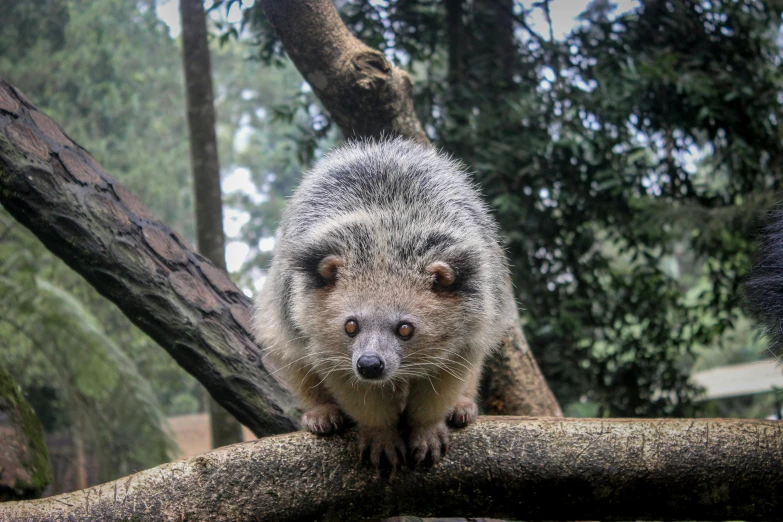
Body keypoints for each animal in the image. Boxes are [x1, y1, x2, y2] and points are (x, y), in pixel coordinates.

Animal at [254, 136, 516, 466]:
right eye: (350, 325)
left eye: (405, 328)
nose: (369, 365)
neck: (387, 238)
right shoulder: (324, 342)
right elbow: (356, 391)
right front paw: (382, 436)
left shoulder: (470, 328)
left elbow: (443, 382)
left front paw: (427, 429)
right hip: (278, 314)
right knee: (292, 357)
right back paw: (321, 411)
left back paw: (462, 405)